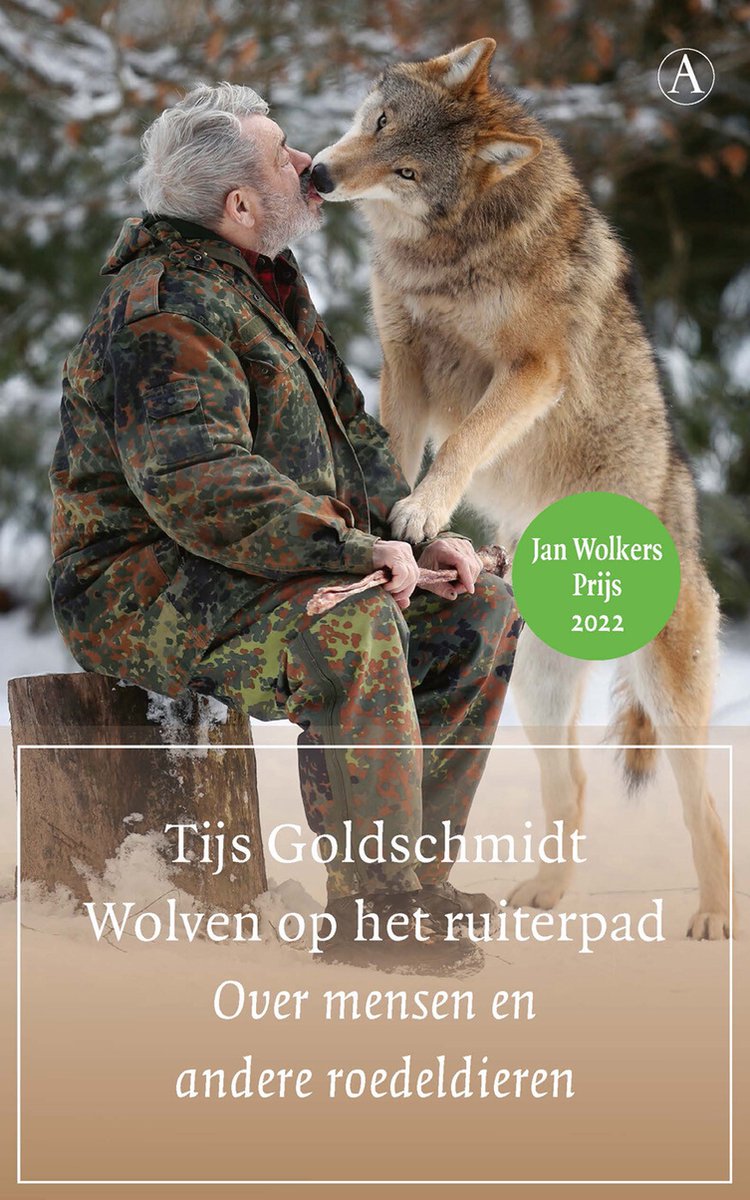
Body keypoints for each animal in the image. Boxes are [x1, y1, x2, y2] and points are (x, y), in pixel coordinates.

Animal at [311, 38, 731, 939]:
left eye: (406, 170)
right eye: (380, 123)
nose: (321, 175)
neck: (451, 251)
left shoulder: (532, 369)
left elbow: (465, 442)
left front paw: (424, 509)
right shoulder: (405, 359)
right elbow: (395, 444)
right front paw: (393, 522)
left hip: (668, 698)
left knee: (703, 809)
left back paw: (715, 919)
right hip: (535, 691)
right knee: (571, 786)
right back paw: (542, 897)